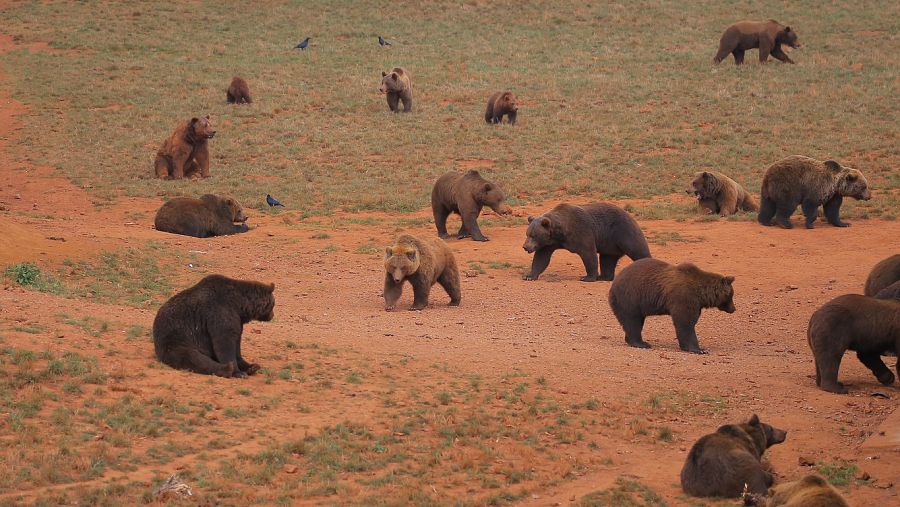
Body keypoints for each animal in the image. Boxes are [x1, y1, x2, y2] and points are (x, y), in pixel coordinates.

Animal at [524, 202, 652, 282]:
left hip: (623, 232)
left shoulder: (581, 232)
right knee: (607, 260)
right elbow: (541, 258)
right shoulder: (549, 243)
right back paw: (603, 277)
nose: (525, 247)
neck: (560, 233)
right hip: (609, 244)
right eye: (527, 234)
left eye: (534, 235)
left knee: (638, 250)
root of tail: (629, 214)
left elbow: (588, 253)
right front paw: (529, 276)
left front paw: (587, 277)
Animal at [608, 258, 736, 354]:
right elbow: (685, 323)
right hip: (630, 298)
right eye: (731, 295)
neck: (701, 294)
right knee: (632, 321)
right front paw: (699, 349)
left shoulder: (696, 304)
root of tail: (613, 284)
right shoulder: (684, 297)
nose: (733, 309)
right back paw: (641, 343)